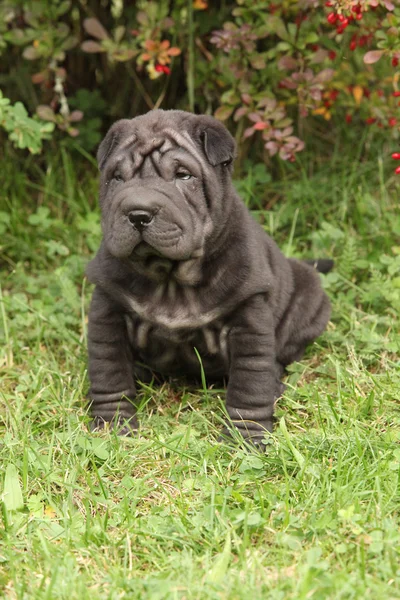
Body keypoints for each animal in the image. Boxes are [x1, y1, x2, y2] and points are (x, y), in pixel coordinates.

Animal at [86, 109, 332, 446]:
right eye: (117, 177)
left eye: (183, 176)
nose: (138, 213)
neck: (170, 279)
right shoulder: (107, 310)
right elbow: (109, 372)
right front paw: (112, 426)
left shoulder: (249, 320)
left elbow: (250, 382)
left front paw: (246, 437)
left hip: (310, 299)